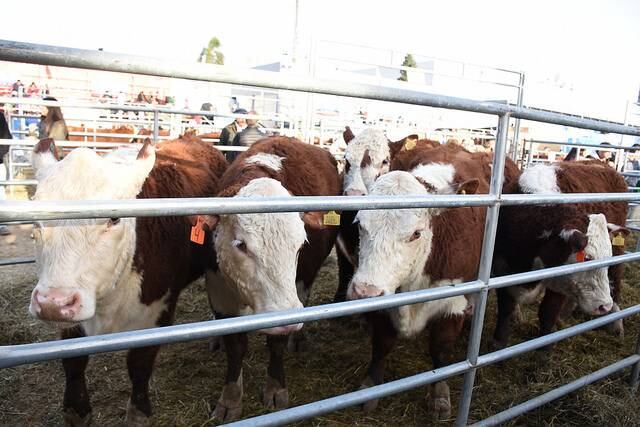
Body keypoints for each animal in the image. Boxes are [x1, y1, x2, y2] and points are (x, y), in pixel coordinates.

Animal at [28, 137, 228, 427]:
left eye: (113, 218)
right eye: (35, 221)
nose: (53, 303)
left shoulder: (157, 310)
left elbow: (140, 363)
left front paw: (139, 412)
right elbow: (74, 360)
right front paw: (77, 409)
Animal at [190, 136, 340, 422]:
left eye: (300, 244)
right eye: (241, 245)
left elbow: (276, 343)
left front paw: (275, 388)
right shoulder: (219, 292)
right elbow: (235, 346)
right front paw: (230, 399)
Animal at [344, 145, 490, 422]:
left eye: (416, 233)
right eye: (359, 224)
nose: (364, 292)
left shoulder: (453, 303)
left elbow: (440, 348)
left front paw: (440, 396)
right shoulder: (385, 300)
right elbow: (382, 344)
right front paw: (370, 386)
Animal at [492, 160, 628, 352]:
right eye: (587, 258)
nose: (604, 306)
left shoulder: (559, 281)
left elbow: (547, 312)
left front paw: (544, 348)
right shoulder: (502, 268)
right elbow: (506, 307)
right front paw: (499, 343)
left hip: (619, 254)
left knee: (616, 280)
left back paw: (616, 324)